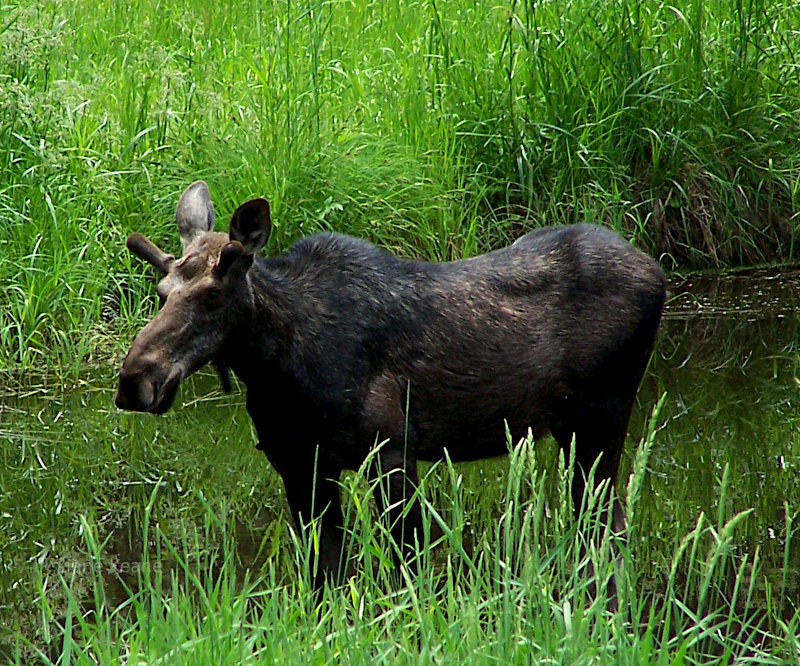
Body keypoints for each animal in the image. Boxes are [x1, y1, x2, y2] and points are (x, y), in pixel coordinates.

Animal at [117, 180, 668, 588]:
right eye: (161, 291)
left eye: (213, 295)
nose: (134, 380)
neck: (277, 367)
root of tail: (656, 271)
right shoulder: (298, 463)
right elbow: (326, 574)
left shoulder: (392, 451)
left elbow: (409, 569)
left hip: (602, 417)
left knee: (608, 528)